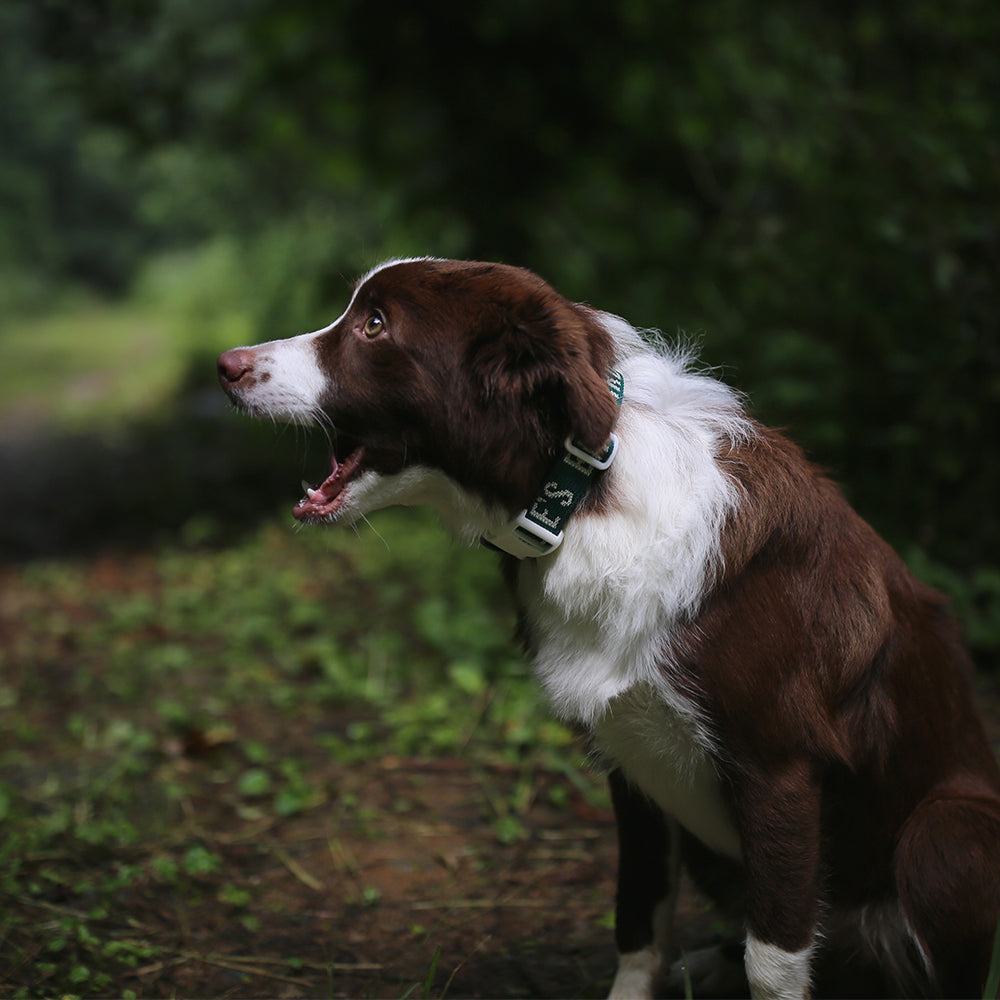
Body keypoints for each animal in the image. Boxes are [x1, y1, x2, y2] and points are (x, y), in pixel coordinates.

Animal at [219, 258, 1000, 1000]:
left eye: (375, 324)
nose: (225, 366)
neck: (583, 490)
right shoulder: (633, 766)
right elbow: (637, 919)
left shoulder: (779, 771)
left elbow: (773, 962)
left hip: (944, 834)